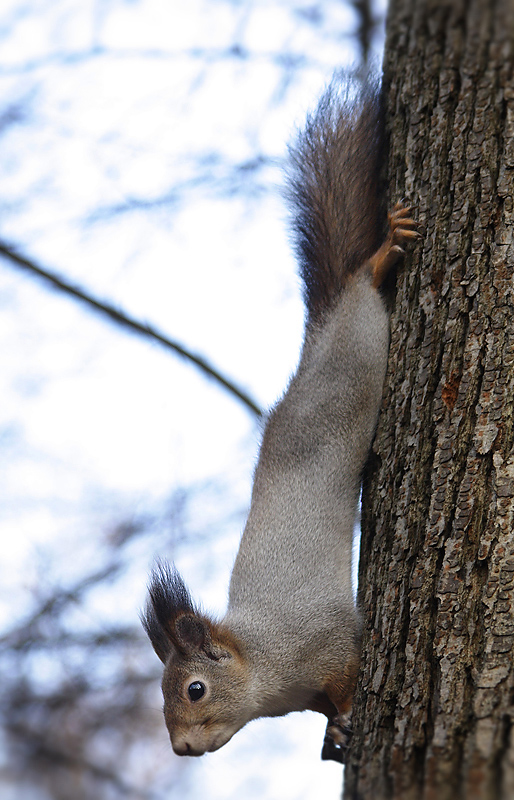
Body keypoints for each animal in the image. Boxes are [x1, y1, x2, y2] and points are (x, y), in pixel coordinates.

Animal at [141, 73, 420, 764]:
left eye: (194, 690)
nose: (181, 749)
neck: (265, 660)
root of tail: (315, 341)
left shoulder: (329, 643)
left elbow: (347, 676)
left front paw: (347, 721)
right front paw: (332, 736)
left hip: (358, 348)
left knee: (362, 288)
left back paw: (384, 252)